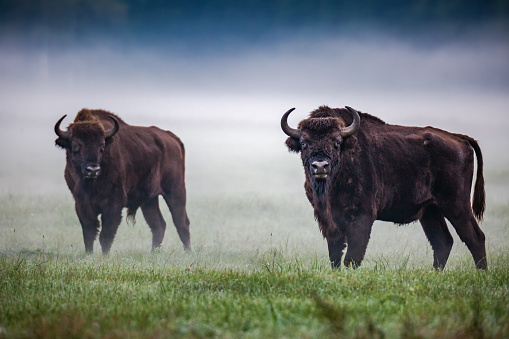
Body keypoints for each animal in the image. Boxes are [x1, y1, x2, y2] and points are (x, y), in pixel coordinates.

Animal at [54, 109, 190, 255]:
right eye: (74, 146)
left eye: (102, 146)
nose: (93, 169)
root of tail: (173, 139)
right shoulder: (81, 204)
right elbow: (89, 233)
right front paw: (88, 254)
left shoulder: (113, 204)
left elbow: (106, 235)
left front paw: (105, 256)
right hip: (149, 200)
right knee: (158, 225)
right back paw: (153, 253)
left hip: (175, 191)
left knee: (181, 222)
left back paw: (188, 252)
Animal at [282, 106, 484, 270]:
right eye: (304, 143)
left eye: (337, 142)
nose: (320, 166)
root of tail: (460, 139)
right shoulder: (329, 222)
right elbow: (336, 256)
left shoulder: (362, 218)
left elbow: (352, 257)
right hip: (430, 211)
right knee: (443, 242)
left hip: (456, 205)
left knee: (475, 237)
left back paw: (481, 274)